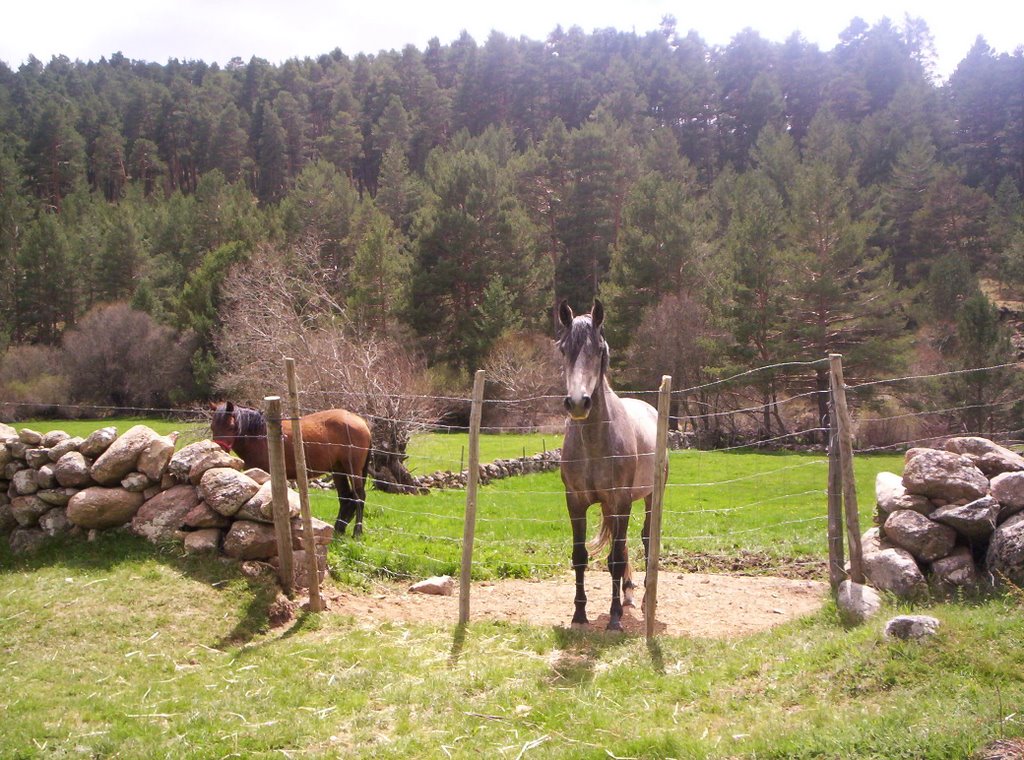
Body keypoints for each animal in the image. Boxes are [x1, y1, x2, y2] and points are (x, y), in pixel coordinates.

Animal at [208, 401, 372, 540]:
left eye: (231, 427)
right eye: (213, 427)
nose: (219, 450)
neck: (260, 436)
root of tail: (361, 422)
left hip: (353, 469)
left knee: (359, 496)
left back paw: (357, 532)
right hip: (338, 470)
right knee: (345, 498)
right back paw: (339, 529)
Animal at [557, 301, 659, 635]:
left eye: (599, 349)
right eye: (563, 349)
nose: (578, 403)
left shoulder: (620, 501)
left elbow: (614, 558)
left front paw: (614, 619)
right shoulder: (575, 502)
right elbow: (580, 556)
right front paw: (579, 615)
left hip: (650, 496)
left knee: (645, 539)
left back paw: (644, 600)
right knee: (622, 544)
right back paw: (627, 593)